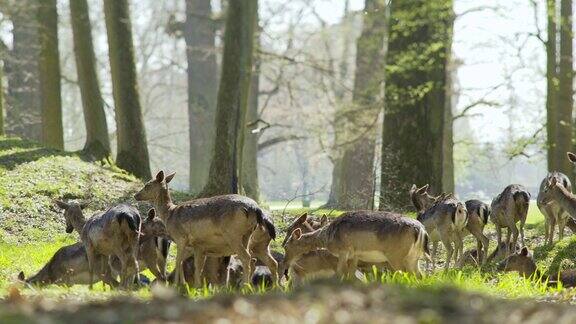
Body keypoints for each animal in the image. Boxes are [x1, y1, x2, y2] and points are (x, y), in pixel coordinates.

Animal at [133, 171, 276, 288]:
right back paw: (273, 287)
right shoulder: (199, 246)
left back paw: (245, 287)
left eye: (147, 185)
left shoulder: (181, 238)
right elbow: (198, 266)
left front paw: (180, 285)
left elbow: (178, 261)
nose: (136, 195)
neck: (170, 215)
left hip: (233, 235)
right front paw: (196, 287)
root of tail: (255, 209)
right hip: (248, 236)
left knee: (247, 258)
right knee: (266, 261)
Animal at [282, 211, 430, 278]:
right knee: (420, 276)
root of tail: (421, 230)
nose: (285, 264)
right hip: (413, 258)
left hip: (396, 256)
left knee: (405, 274)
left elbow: (340, 273)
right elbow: (351, 274)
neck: (328, 237)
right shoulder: (355, 255)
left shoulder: (343, 251)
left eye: (286, 246)